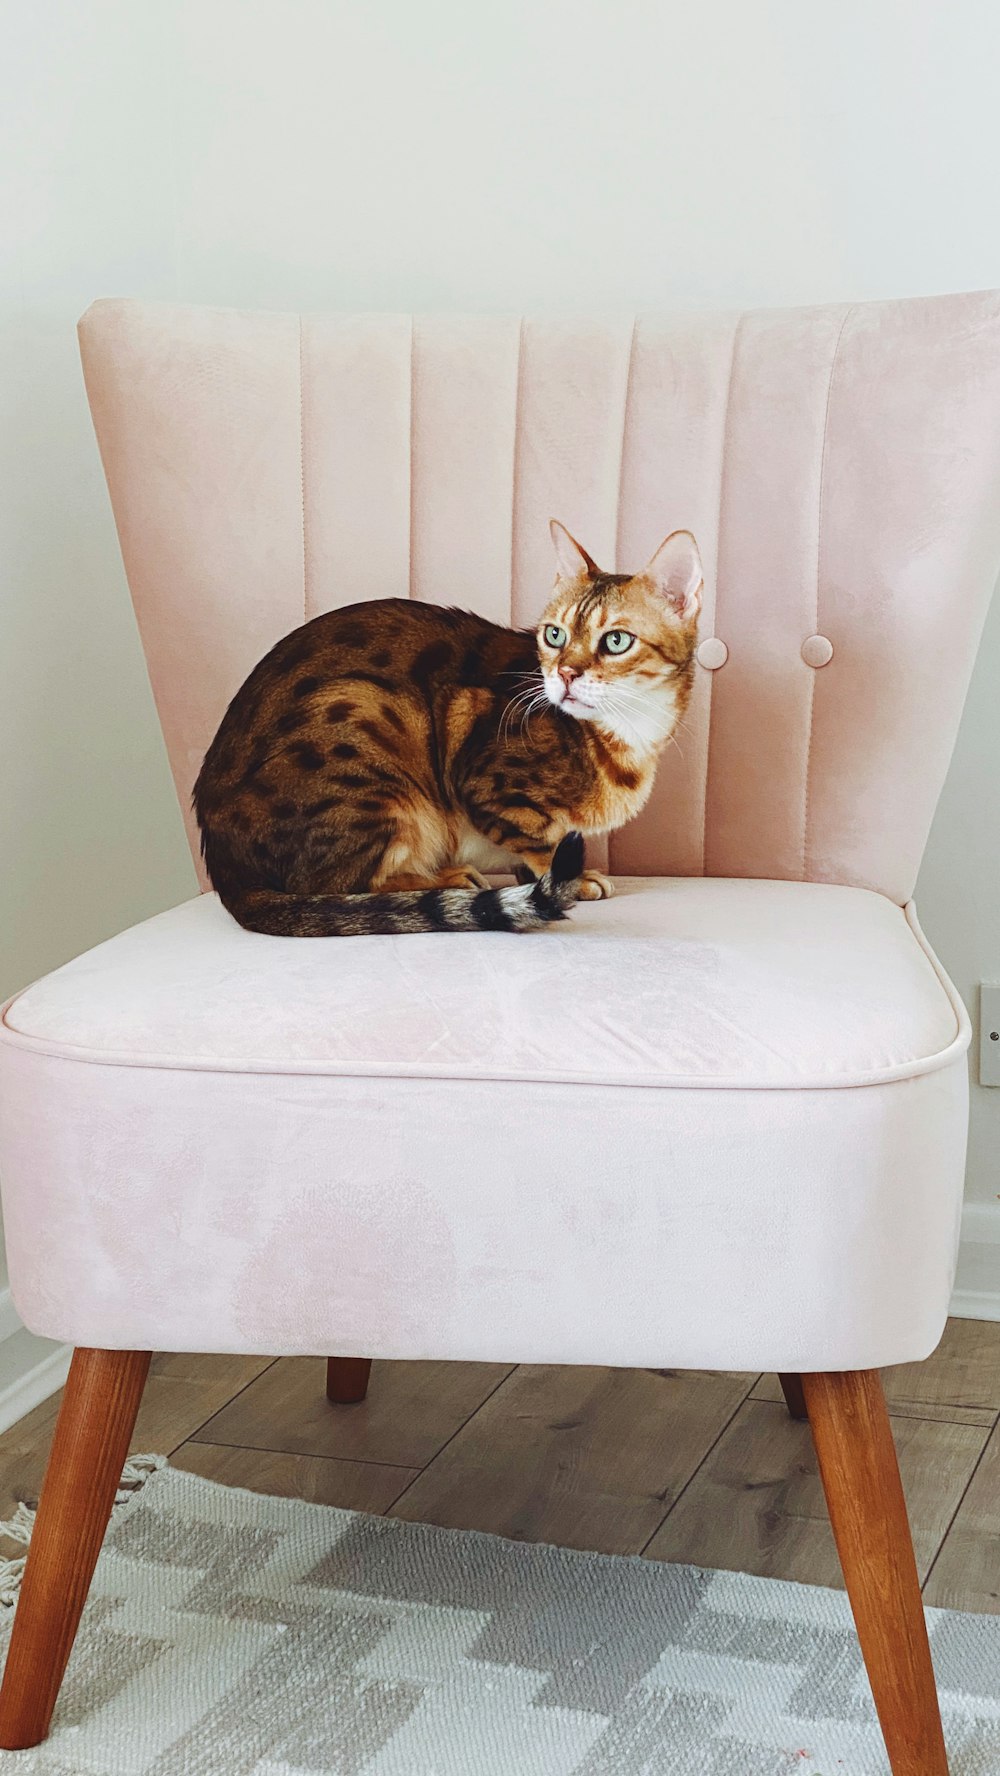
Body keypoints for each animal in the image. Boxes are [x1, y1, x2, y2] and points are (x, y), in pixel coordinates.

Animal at [191, 518, 699, 937]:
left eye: (616, 641)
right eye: (554, 635)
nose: (564, 674)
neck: (629, 732)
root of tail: (223, 866)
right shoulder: (473, 752)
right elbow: (537, 839)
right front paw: (565, 874)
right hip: (369, 717)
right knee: (331, 885)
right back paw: (446, 879)